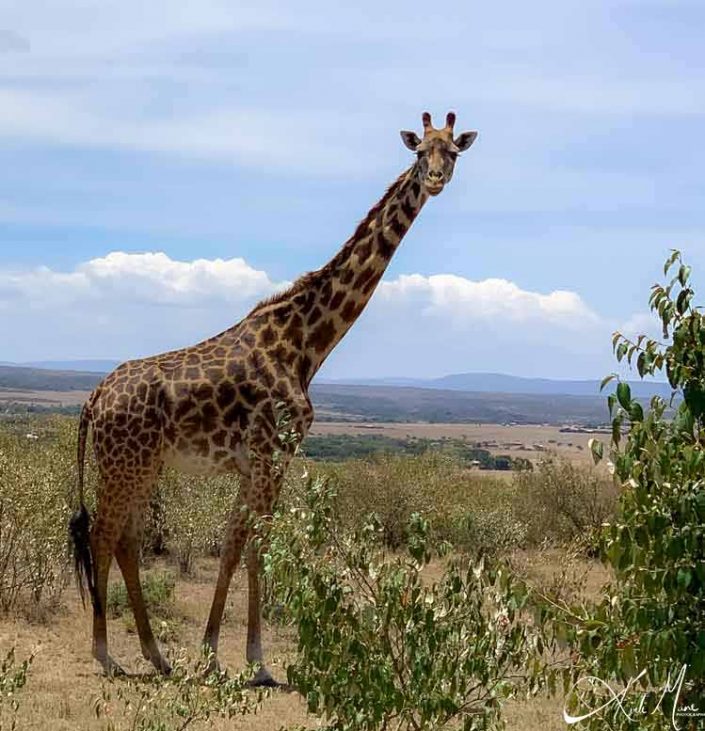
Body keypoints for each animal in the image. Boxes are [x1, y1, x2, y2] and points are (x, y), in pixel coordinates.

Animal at [69, 111, 478, 684]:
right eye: (421, 152)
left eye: (453, 153)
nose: (436, 179)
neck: (305, 343)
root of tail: (94, 396)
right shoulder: (273, 456)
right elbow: (256, 547)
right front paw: (255, 660)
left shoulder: (254, 463)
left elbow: (233, 547)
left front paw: (213, 653)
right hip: (124, 464)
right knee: (104, 535)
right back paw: (107, 654)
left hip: (141, 465)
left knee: (126, 539)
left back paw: (157, 655)